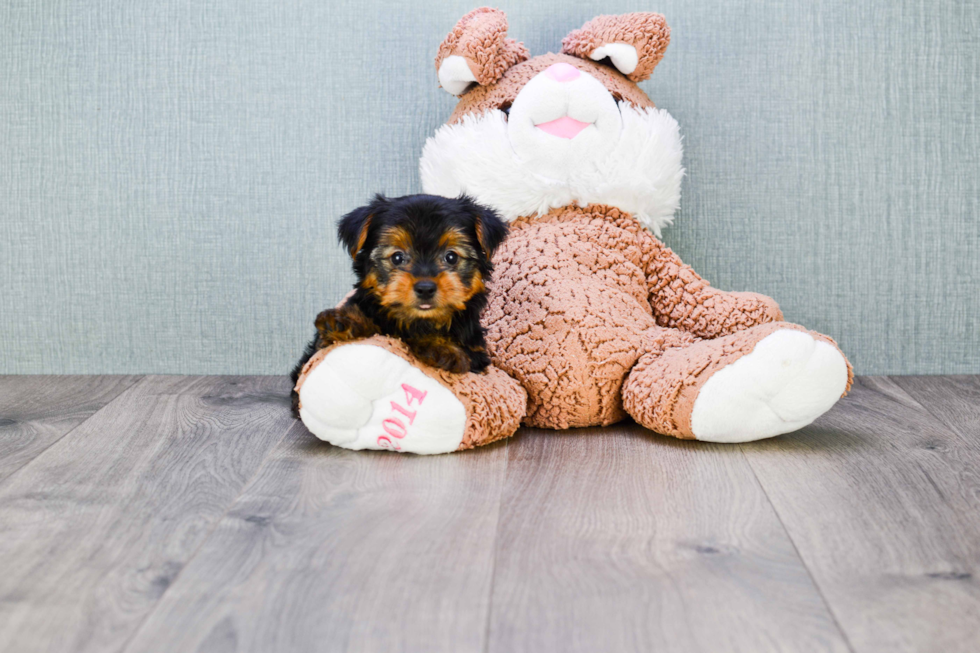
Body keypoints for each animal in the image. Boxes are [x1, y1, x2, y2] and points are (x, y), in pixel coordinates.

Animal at [290, 194, 506, 416]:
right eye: (397, 257)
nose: (425, 288)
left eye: (451, 257)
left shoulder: (477, 354)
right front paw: (343, 321)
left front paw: (441, 347)